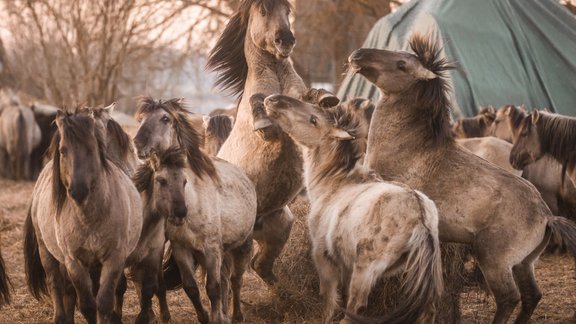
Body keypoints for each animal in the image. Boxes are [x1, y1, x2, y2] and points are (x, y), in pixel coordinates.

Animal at [23, 109, 143, 324]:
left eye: (92, 148)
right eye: (63, 151)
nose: (78, 190)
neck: (89, 217)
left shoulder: (114, 259)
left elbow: (104, 301)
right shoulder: (74, 262)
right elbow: (87, 304)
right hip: (48, 254)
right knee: (56, 285)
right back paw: (60, 317)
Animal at [136, 147, 256, 324]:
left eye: (184, 181)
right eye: (161, 180)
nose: (180, 213)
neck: (194, 207)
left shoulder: (211, 250)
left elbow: (213, 288)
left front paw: (216, 318)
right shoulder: (181, 249)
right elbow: (191, 287)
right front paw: (205, 316)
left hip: (242, 246)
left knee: (236, 281)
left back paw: (237, 315)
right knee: (225, 279)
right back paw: (225, 313)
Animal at [206, 0, 332, 284]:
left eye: (288, 11)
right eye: (263, 10)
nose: (285, 39)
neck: (276, 75)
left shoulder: (298, 99)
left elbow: (308, 96)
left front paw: (326, 97)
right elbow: (260, 100)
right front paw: (263, 119)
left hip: (280, 227)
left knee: (260, 265)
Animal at [264, 94, 444, 324]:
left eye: (314, 119)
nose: (273, 100)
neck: (335, 184)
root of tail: (420, 215)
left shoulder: (323, 258)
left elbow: (329, 300)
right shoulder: (346, 264)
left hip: (365, 271)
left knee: (355, 307)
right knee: (428, 310)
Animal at [352, 33, 576, 324]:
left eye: (402, 64)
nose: (359, 55)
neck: (408, 147)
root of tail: (547, 216)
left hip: (493, 260)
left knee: (509, 298)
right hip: (524, 263)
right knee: (531, 296)